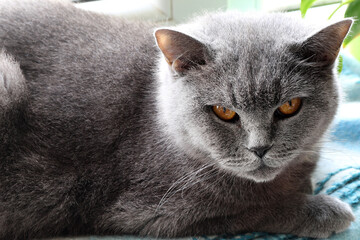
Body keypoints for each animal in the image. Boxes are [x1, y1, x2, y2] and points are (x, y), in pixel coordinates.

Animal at [0, 0, 354, 239]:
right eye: (224, 111)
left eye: (290, 106)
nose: (260, 149)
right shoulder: (153, 211)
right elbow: (255, 209)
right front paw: (325, 210)